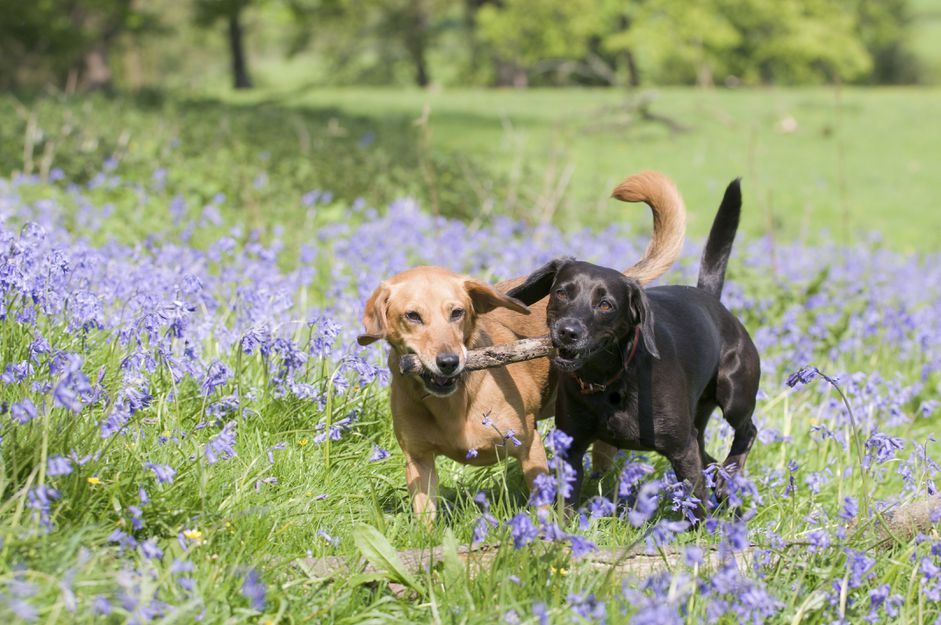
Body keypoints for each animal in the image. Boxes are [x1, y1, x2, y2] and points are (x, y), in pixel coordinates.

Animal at [358, 171, 684, 520]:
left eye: (457, 312)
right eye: (412, 316)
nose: (448, 362)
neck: (455, 403)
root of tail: (618, 279)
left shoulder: (529, 446)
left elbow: (541, 502)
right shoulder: (419, 461)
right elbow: (425, 518)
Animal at [506, 180, 756, 516]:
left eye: (606, 304)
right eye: (561, 292)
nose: (567, 332)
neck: (610, 381)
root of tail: (713, 302)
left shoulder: (682, 448)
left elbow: (694, 500)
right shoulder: (571, 447)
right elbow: (568, 500)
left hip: (734, 393)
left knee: (747, 431)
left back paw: (730, 476)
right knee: (712, 460)